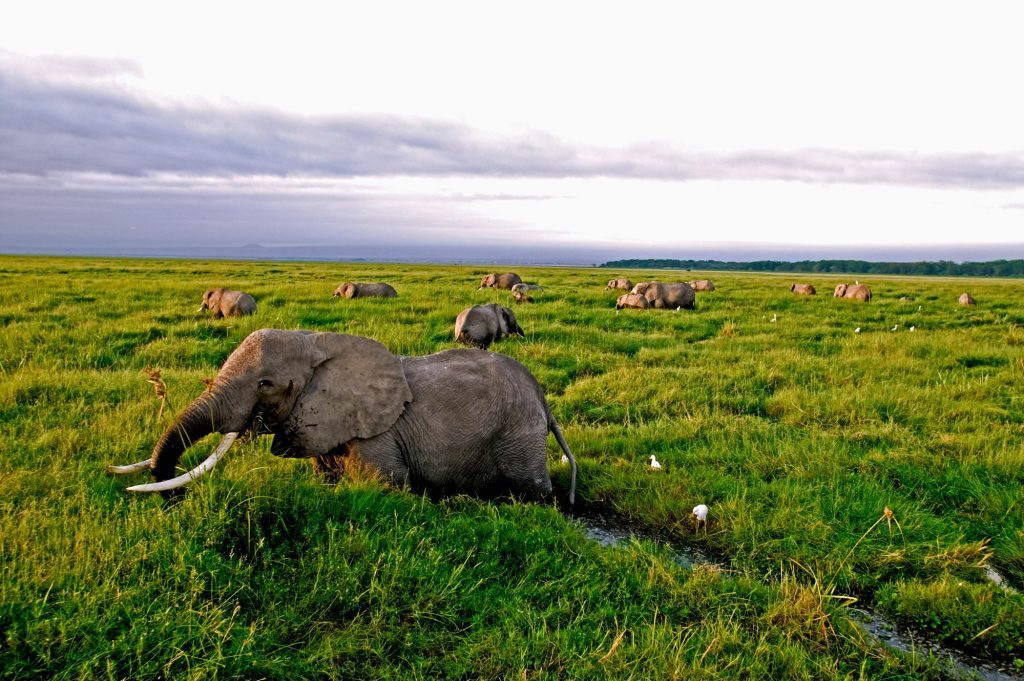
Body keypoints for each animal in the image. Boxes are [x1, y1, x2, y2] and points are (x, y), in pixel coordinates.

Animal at [113, 329, 581, 503]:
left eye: (265, 384)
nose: (175, 500)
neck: (318, 343)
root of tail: (543, 398)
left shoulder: (378, 437)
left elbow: (387, 485)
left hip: (518, 434)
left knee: (532, 489)